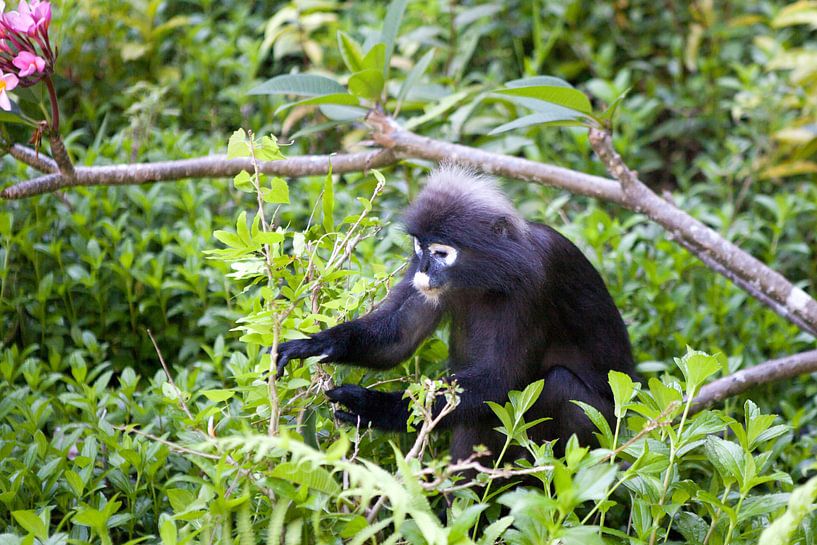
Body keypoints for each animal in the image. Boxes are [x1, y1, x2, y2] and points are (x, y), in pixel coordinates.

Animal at [275, 164, 635, 463]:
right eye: (419, 247)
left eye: (440, 253)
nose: (421, 269)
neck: (489, 276)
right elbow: (398, 338)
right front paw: (314, 344)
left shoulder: (538, 280)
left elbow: (498, 380)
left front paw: (372, 408)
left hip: (605, 428)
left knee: (559, 386)